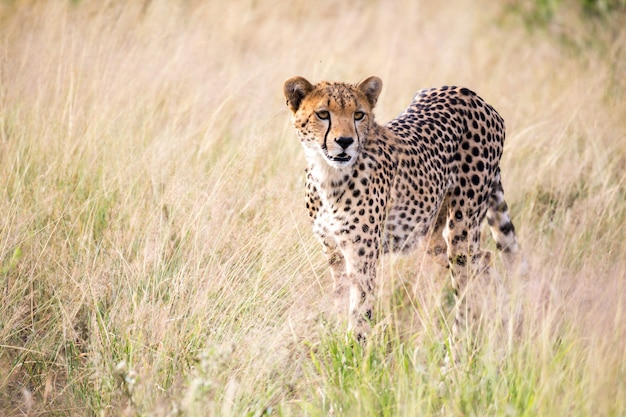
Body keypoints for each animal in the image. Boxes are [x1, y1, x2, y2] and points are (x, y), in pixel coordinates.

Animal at [284, 75, 520, 342]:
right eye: (323, 114)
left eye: (358, 115)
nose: (345, 142)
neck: (329, 176)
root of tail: (470, 94)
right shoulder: (333, 251)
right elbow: (341, 300)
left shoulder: (363, 258)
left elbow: (360, 316)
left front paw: (353, 350)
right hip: (430, 236)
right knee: (485, 259)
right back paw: (501, 317)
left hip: (462, 228)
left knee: (466, 284)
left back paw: (459, 345)